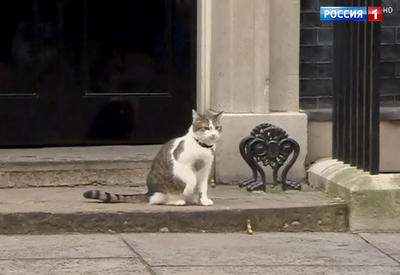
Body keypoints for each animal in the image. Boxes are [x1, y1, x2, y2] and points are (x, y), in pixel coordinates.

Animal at [83, 109, 223, 206]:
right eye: (206, 128)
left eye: (217, 128)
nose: (213, 134)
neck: (202, 148)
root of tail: (149, 192)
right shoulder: (180, 165)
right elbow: (191, 179)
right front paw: (188, 190)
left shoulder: (205, 170)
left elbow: (203, 187)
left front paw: (204, 200)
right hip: (162, 190)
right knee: (157, 201)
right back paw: (177, 201)